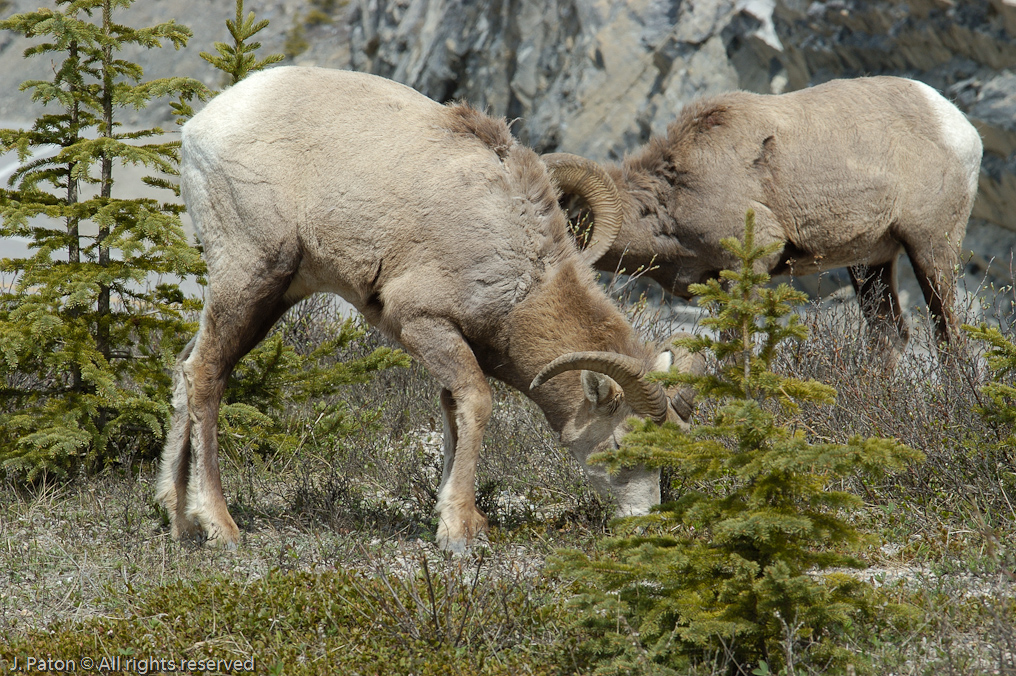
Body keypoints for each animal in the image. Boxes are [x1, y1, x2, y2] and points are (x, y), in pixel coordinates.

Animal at [156, 66, 703, 554]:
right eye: (619, 445)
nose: (644, 522)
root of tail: (200, 126)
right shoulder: (423, 323)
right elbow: (476, 404)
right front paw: (459, 533)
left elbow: (451, 414)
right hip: (251, 276)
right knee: (205, 374)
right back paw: (221, 528)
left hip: (270, 295)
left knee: (185, 368)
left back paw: (179, 523)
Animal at [547, 76, 983, 353]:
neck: (672, 197)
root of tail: (958, 125)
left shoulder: (750, 265)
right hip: (870, 263)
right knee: (889, 335)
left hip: (930, 249)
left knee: (949, 336)